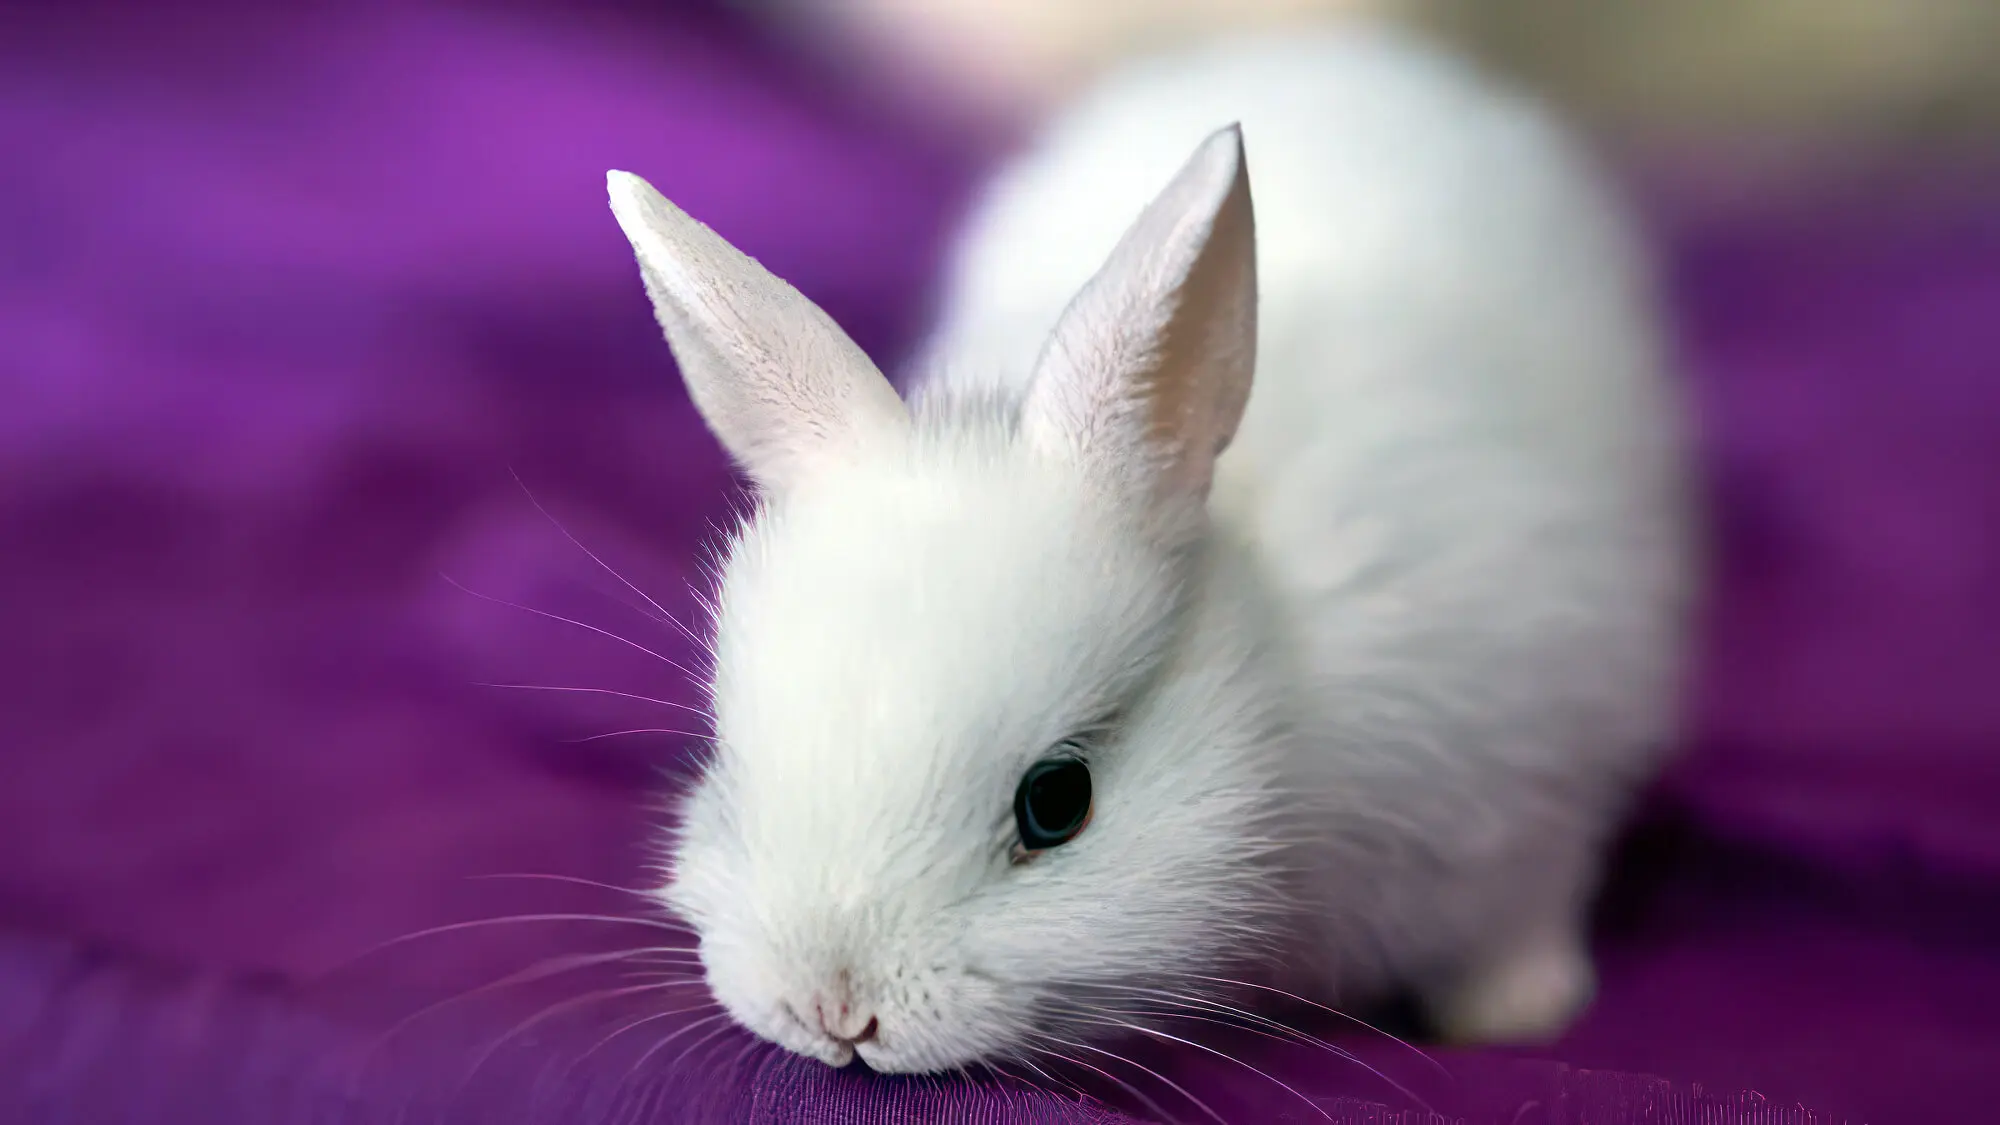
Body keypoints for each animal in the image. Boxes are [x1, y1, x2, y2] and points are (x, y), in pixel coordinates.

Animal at [604, 22, 1690, 1076]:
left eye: (1057, 802)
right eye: (731, 766)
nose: (832, 1008)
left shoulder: (1532, 775)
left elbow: (1526, 903)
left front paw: (1516, 1011)